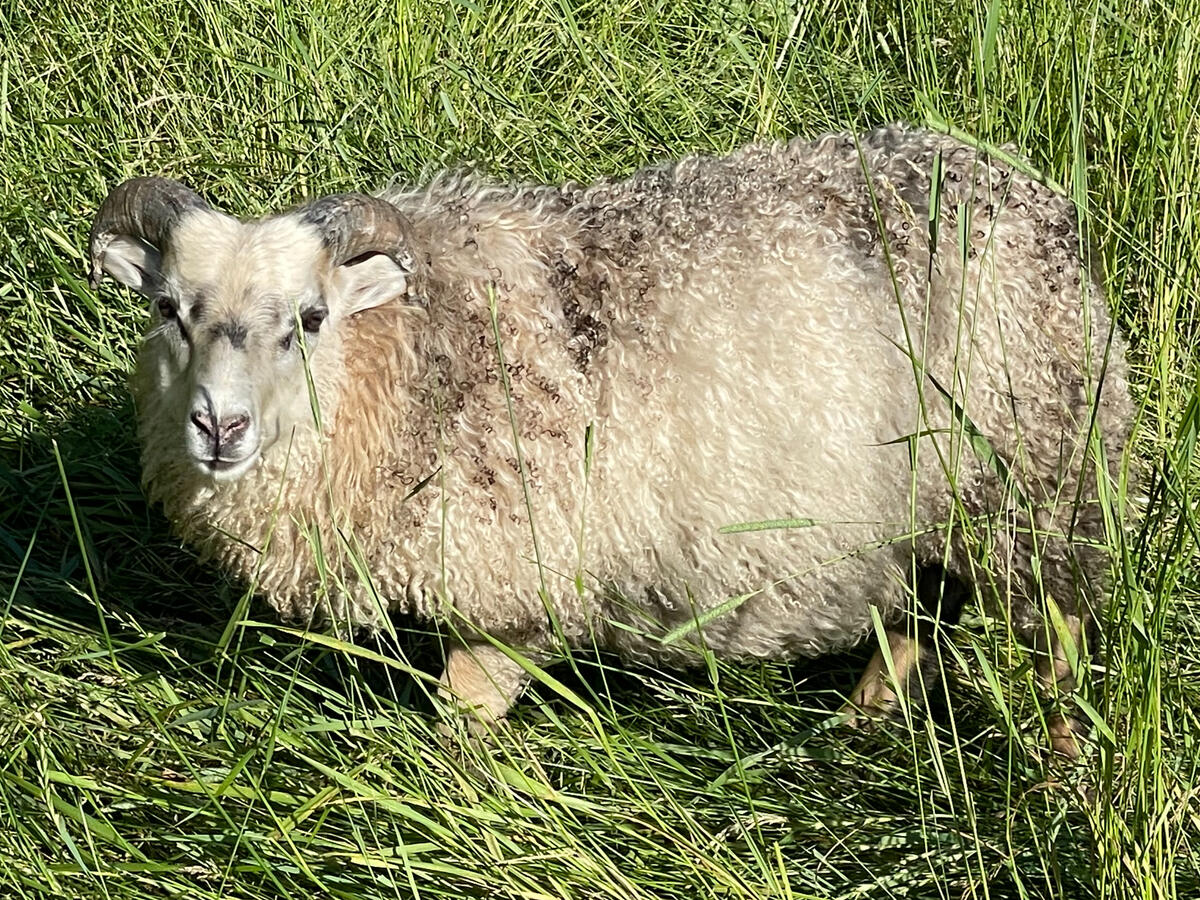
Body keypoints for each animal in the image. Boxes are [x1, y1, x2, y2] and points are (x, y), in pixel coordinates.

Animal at [87, 124, 1133, 755]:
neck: (412, 368)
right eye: (171, 310)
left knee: (1059, 635)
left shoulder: (519, 592)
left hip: (1041, 471)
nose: (218, 426)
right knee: (917, 615)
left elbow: (461, 717)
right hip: (926, 504)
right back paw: (860, 731)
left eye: (310, 320)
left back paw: (1060, 766)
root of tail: (1042, 205)